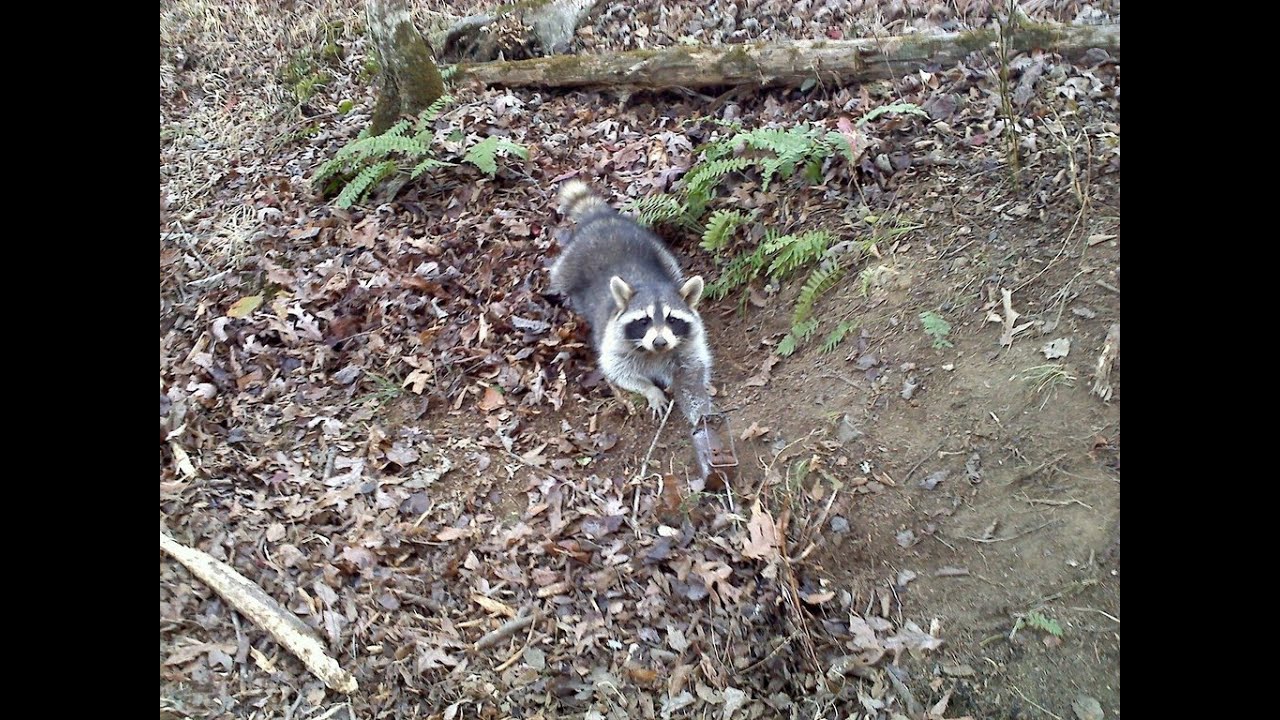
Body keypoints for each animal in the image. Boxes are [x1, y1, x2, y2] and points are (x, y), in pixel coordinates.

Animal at [550, 180, 714, 425]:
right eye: (644, 321)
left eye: (672, 319)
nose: (659, 342)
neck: (655, 353)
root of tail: (600, 220)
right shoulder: (614, 342)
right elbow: (618, 370)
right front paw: (650, 390)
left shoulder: (689, 345)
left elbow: (692, 372)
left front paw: (700, 405)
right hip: (568, 263)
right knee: (558, 275)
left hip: (659, 250)